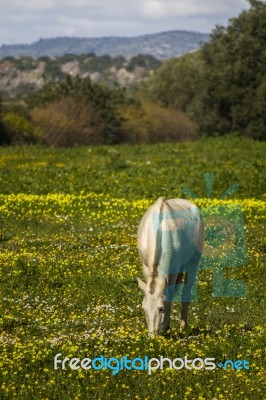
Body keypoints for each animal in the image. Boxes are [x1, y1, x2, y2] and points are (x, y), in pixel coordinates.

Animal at [137, 197, 204, 334]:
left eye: (161, 308)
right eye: (144, 308)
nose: (152, 335)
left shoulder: (173, 269)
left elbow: (170, 294)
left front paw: (166, 327)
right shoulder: (146, 268)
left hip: (193, 261)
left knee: (185, 293)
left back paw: (182, 326)